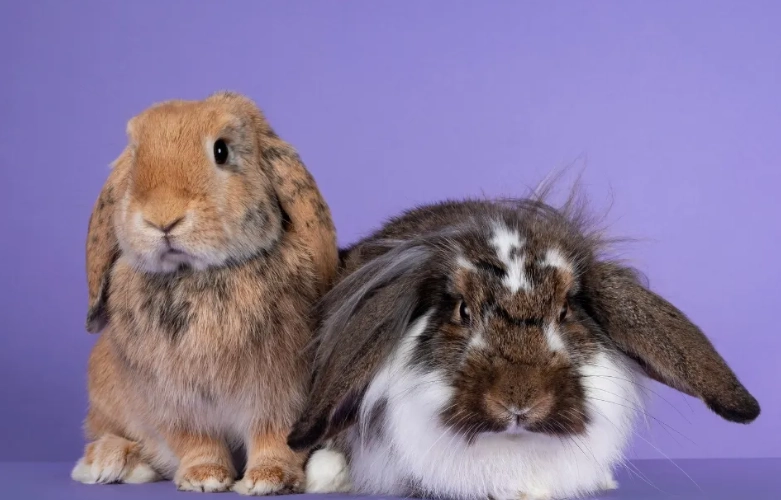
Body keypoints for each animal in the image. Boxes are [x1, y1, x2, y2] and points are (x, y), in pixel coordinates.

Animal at [71, 91, 339, 495]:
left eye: (221, 151)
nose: (162, 217)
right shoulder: (173, 401)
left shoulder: (282, 394)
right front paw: (205, 478)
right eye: (134, 155)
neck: (196, 275)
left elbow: (276, 437)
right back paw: (108, 460)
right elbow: (195, 441)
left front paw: (268, 479)